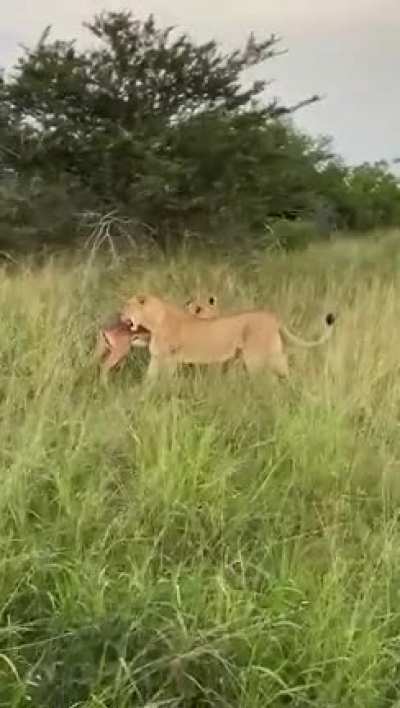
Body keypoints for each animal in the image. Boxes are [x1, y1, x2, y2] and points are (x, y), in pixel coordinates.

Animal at [121, 294, 336, 380]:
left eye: (127, 306)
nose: (120, 314)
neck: (154, 321)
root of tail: (273, 316)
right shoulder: (156, 359)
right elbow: (148, 380)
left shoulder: (169, 359)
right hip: (275, 354)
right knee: (284, 372)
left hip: (255, 359)